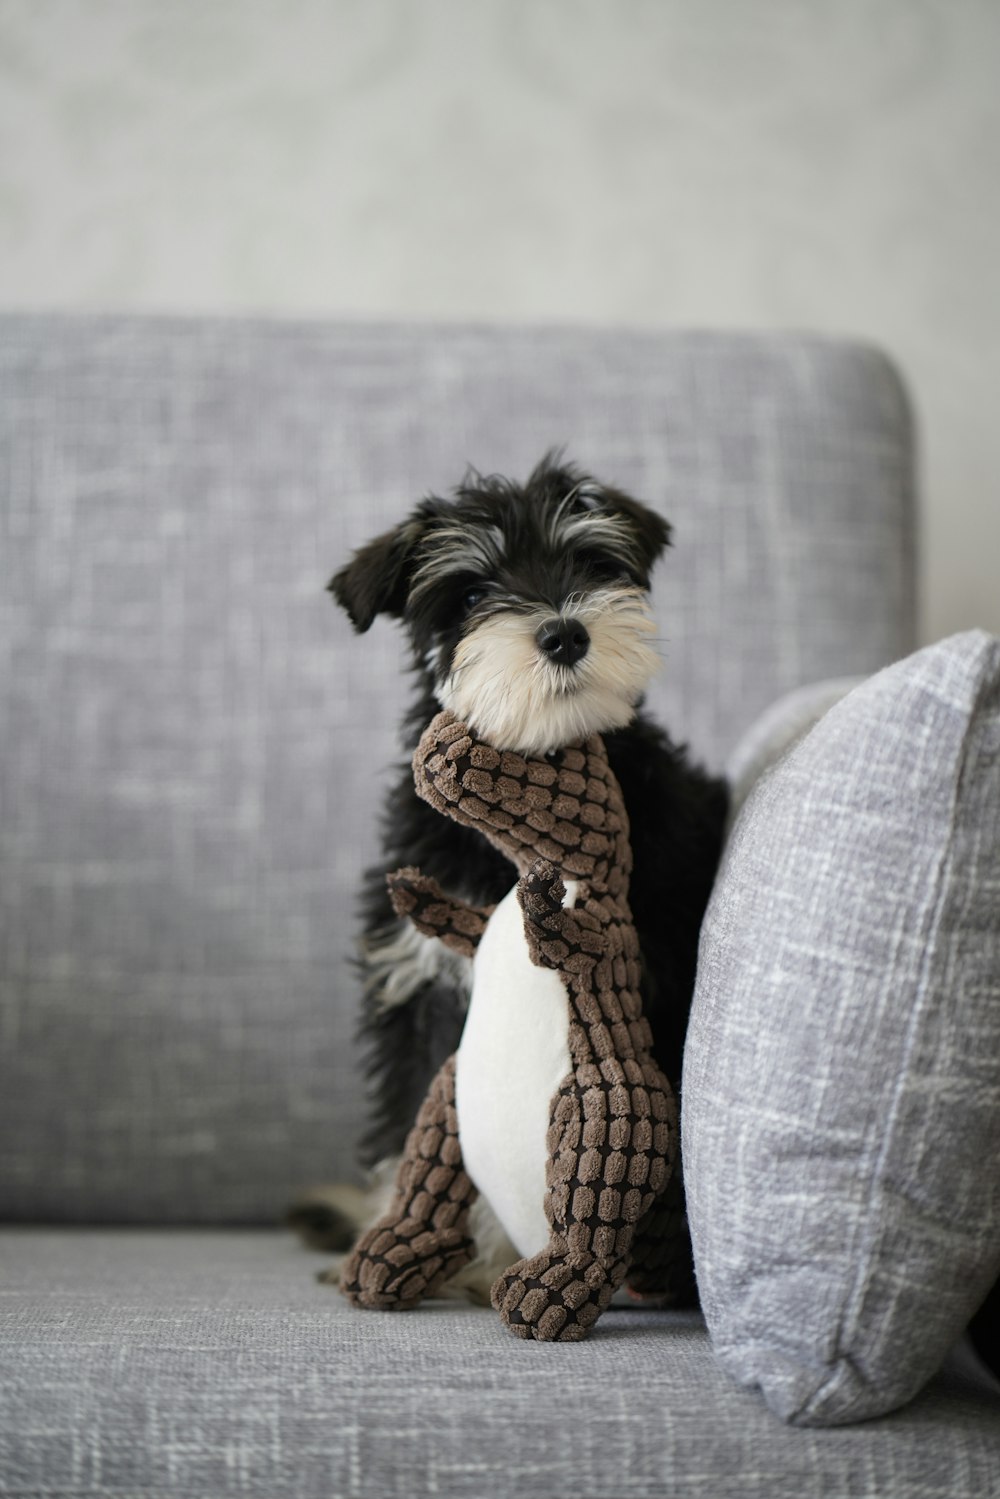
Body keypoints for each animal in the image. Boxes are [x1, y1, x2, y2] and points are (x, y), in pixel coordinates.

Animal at [289, 446, 728, 1301]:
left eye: (592, 562)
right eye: (470, 593)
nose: (563, 633)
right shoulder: (426, 985)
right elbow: (418, 1126)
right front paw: (419, 1240)